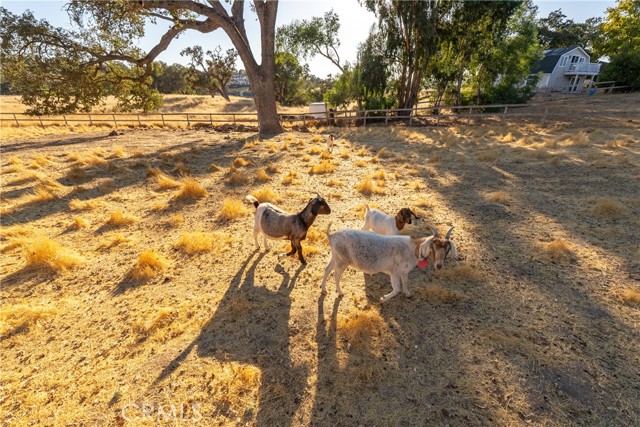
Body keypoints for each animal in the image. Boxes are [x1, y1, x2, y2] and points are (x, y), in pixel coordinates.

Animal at [320, 222, 456, 302]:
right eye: (434, 246)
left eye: (447, 249)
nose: (439, 265)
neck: (413, 248)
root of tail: (331, 235)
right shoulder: (394, 272)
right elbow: (397, 289)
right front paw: (383, 298)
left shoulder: (404, 272)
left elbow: (405, 283)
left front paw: (408, 293)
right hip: (342, 260)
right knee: (336, 274)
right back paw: (340, 292)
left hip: (335, 256)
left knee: (327, 269)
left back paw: (323, 289)